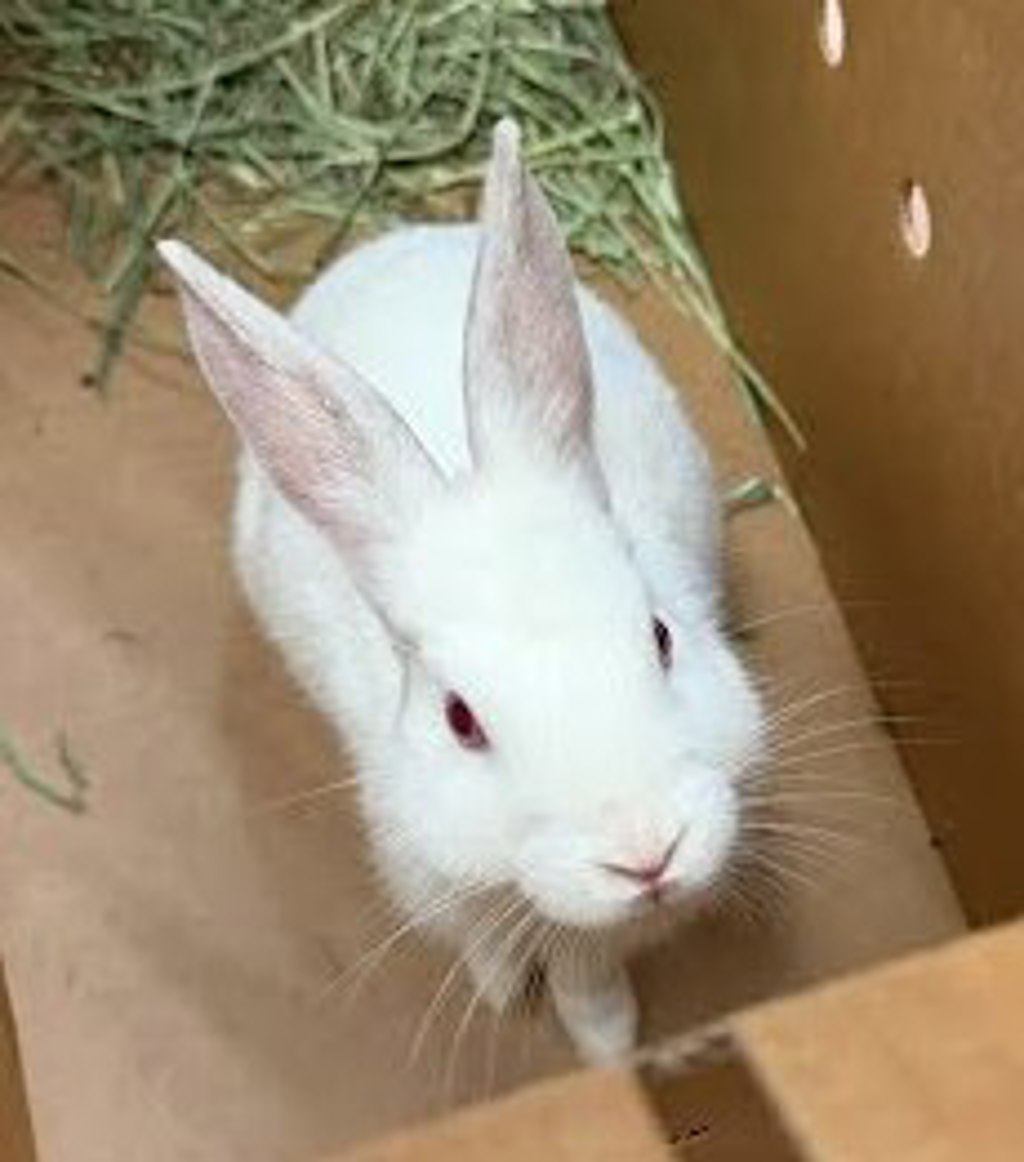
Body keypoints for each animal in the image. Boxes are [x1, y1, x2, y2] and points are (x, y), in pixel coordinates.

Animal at [158, 118, 765, 1066]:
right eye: (460, 720)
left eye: (662, 637)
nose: (645, 853)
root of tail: (397, 237)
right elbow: (493, 944)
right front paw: (505, 991)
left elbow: (590, 986)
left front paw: (609, 1048)